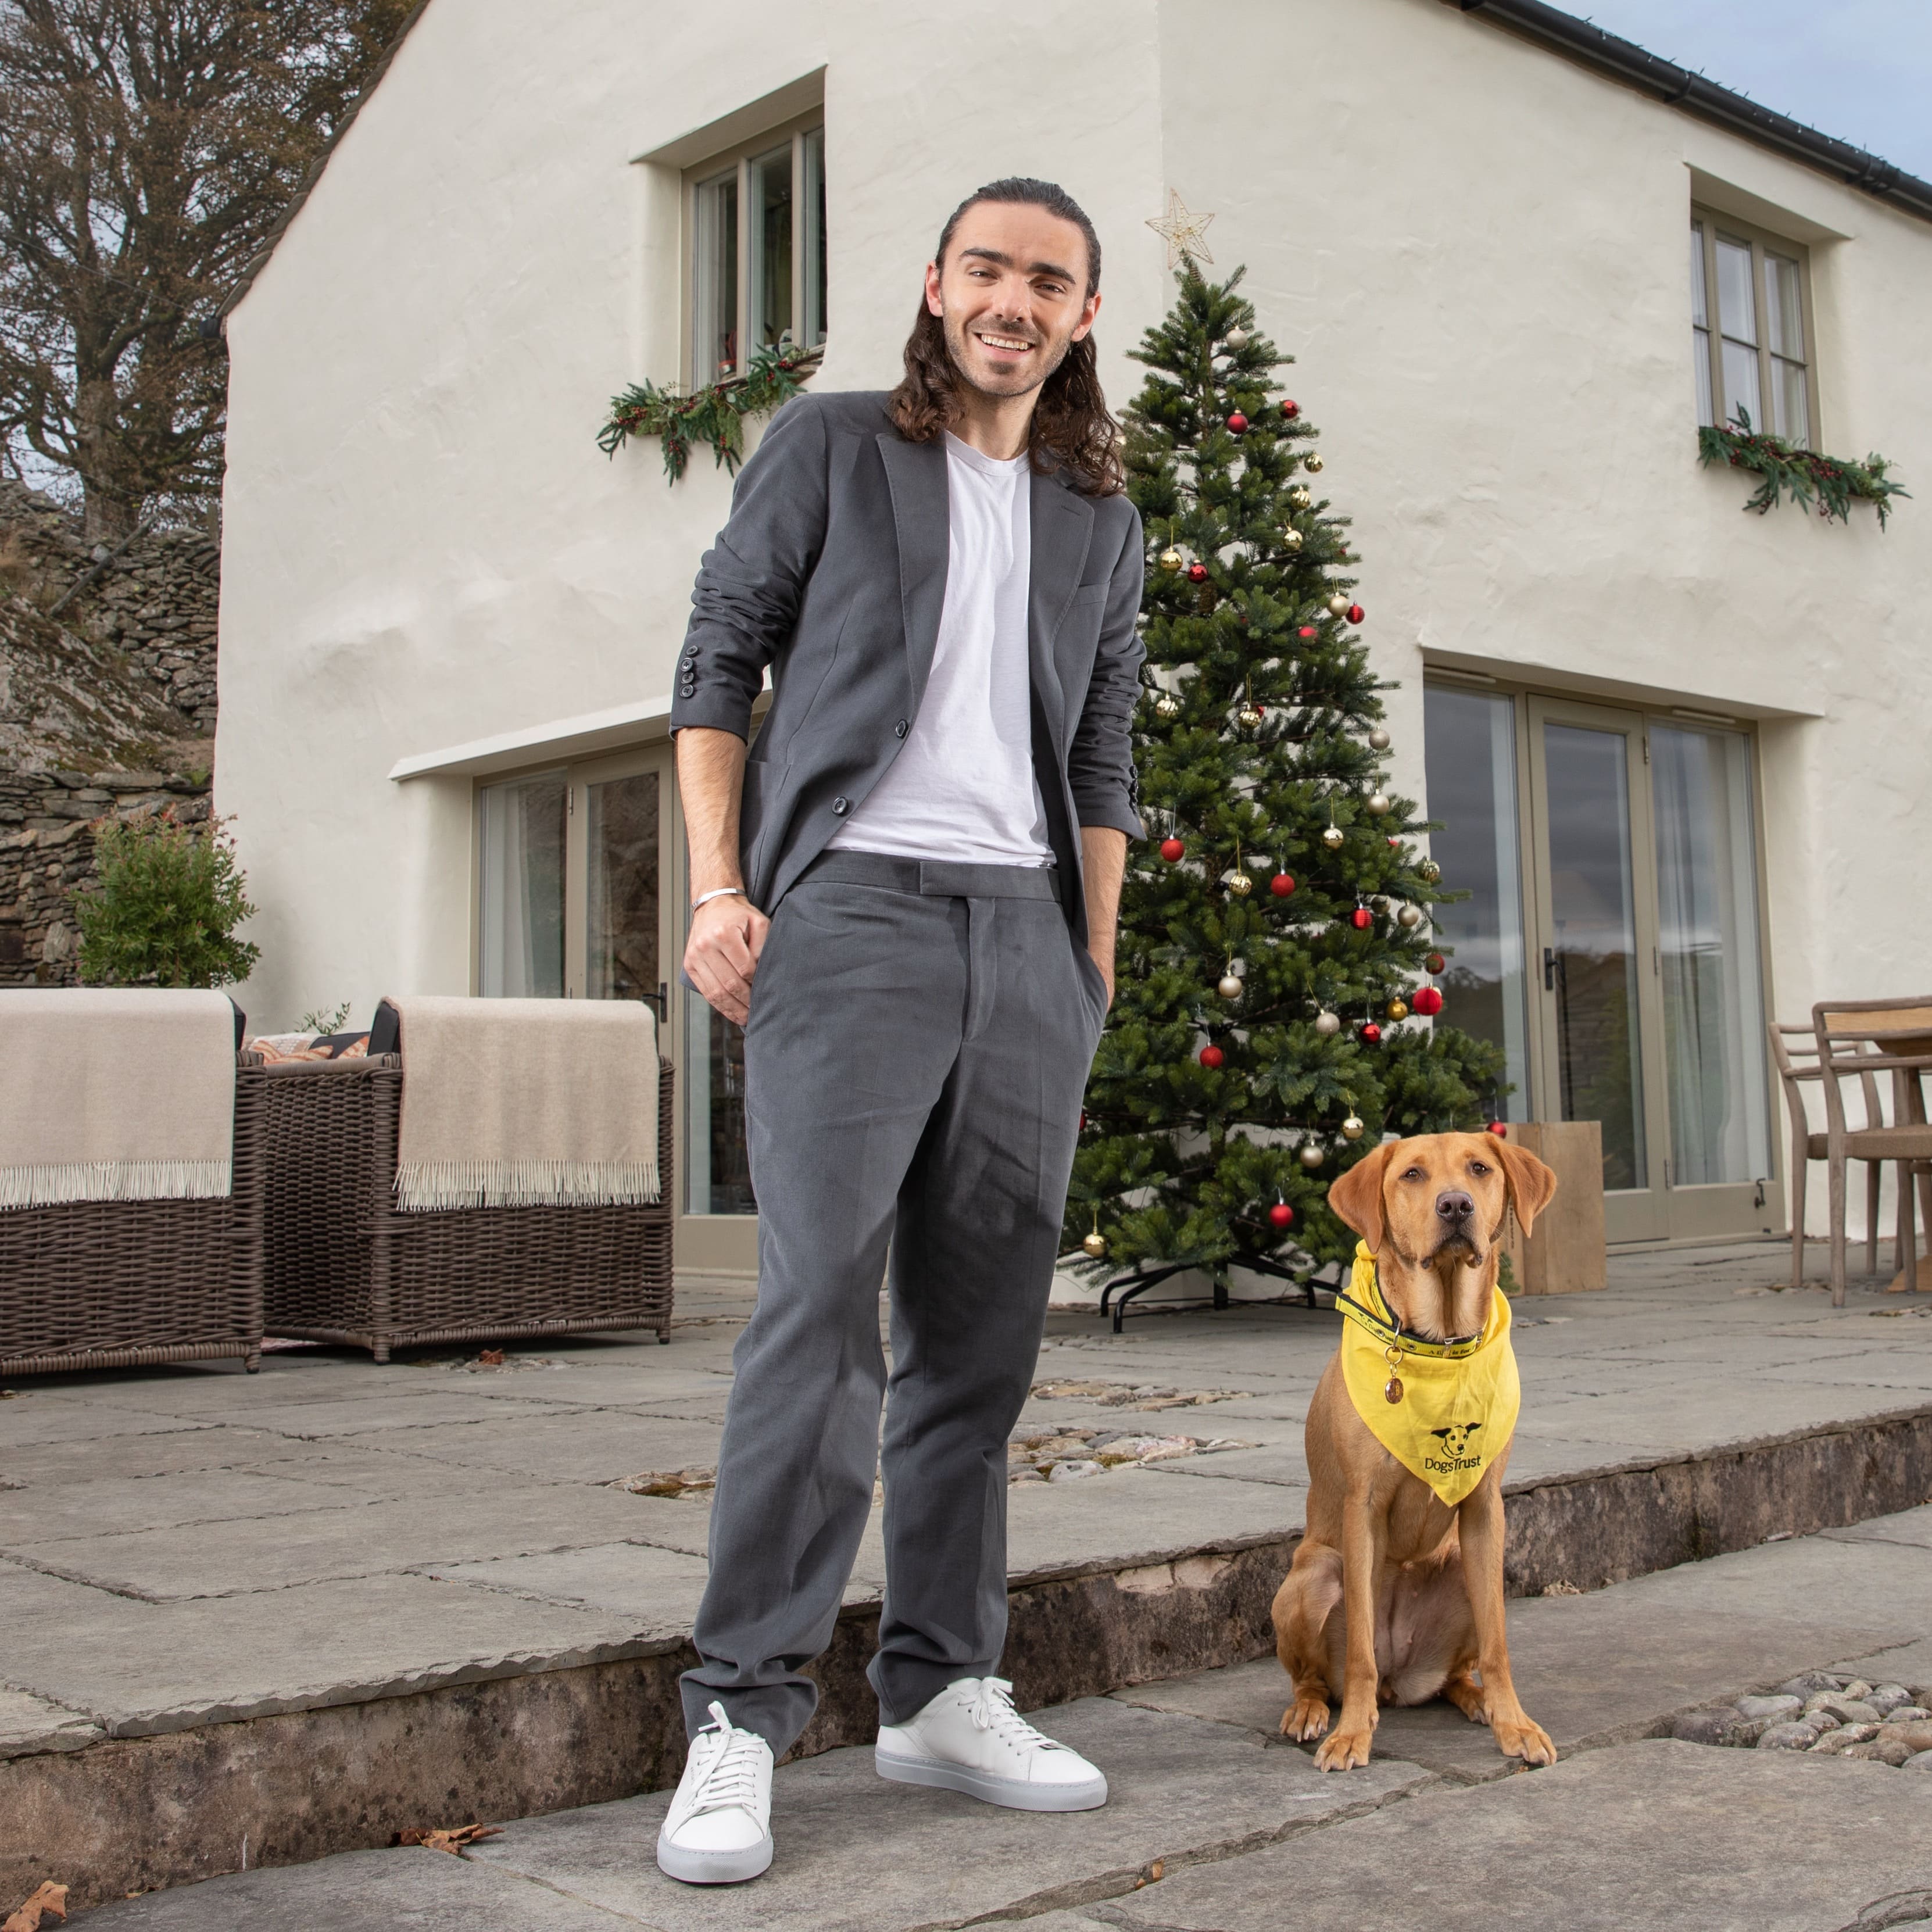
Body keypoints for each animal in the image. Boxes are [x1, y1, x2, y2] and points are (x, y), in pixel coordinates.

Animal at [1275, 1128, 1561, 1777]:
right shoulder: (1362, 1510)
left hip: (1469, 1569)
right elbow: (1358, 1648)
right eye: (1411, 1175)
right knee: (1317, 1675)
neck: (1442, 1342)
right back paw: (1312, 1711)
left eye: (1480, 1168)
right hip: (1312, 1576)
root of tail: (1399, 1678)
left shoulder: (1484, 1508)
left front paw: (1516, 1724)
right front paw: (1352, 1736)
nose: (1456, 1206)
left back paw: (1477, 1699)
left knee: (1457, 1670)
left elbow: (1499, 1644)